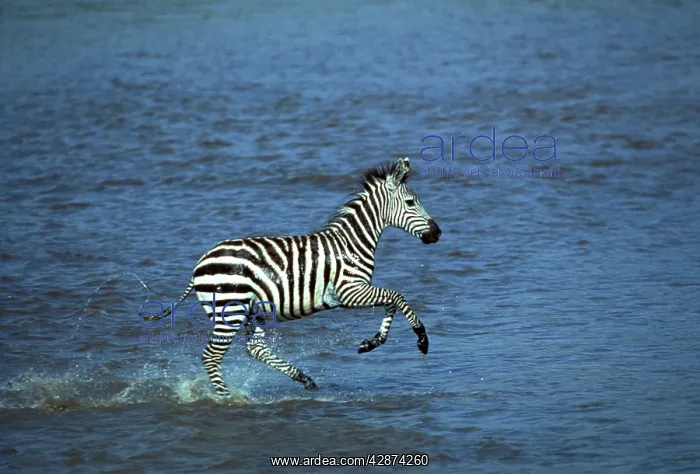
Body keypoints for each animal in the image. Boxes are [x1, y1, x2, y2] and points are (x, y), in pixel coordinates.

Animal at [147, 157, 441, 396]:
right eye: (411, 203)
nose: (437, 233)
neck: (351, 243)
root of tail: (201, 262)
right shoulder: (349, 291)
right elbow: (397, 296)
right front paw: (422, 339)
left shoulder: (357, 291)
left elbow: (391, 301)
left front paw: (372, 343)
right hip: (230, 311)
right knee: (211, 356)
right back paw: (227, 398)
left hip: (251, 312)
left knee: (255, 349)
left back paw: (303, 378)